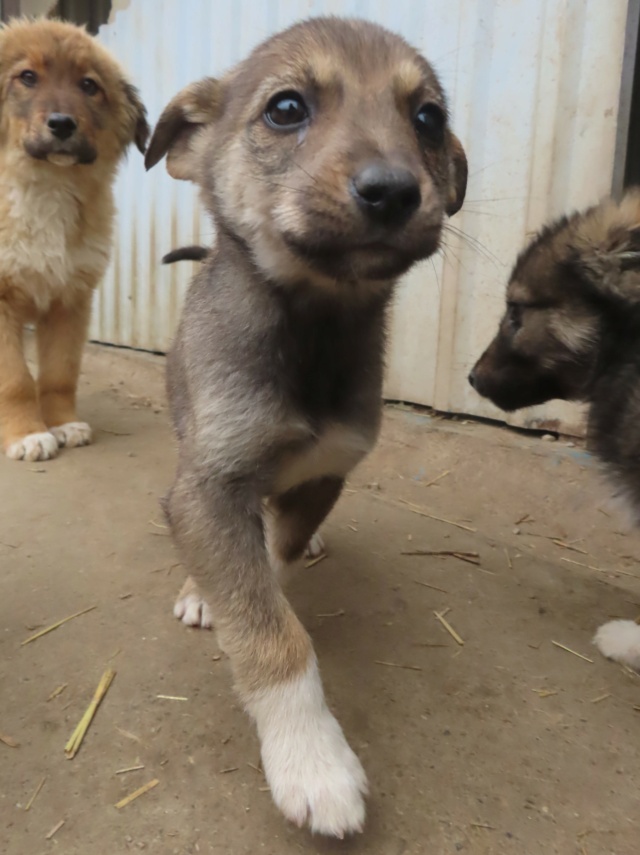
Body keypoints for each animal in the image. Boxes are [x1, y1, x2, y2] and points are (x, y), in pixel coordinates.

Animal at [0, 20, 148, 462]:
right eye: (27, 77)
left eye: (88, 85)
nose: (63, 124)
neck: (46, 186)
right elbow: (16, 379)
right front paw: (27, 434)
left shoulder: (71, 299)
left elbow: (59, 374)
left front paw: (62, 423)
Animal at [144, 16, 464, 840]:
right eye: (285, 109)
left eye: (428, 118)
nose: (393, 191)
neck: (314, 331)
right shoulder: (208, 483)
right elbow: (268, 629)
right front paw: (312, 761)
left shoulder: (328, 469)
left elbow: (276, 559)